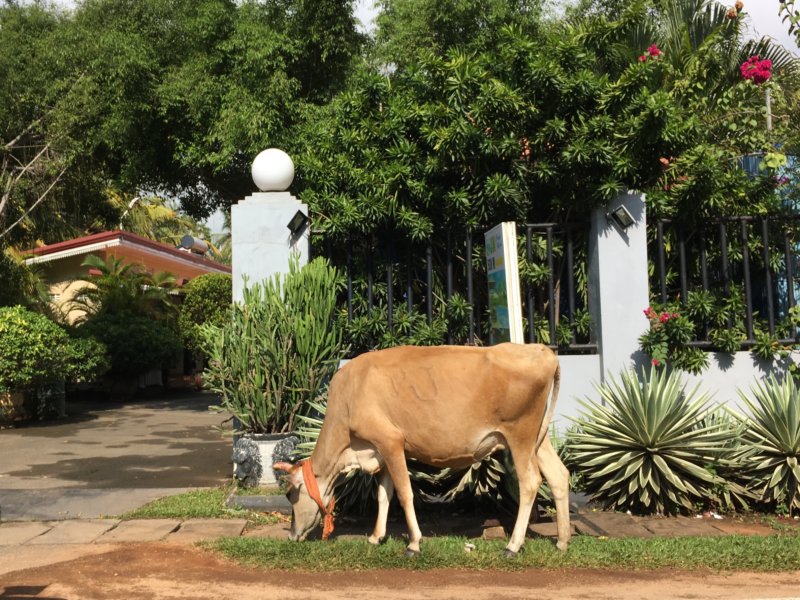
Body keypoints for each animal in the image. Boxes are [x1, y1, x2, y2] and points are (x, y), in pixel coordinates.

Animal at [273, 343, 570, 557]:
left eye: (289, 494)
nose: (291, 535)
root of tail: (540, 350)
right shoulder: (381, 450)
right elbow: (384, 495)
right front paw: (375, 537)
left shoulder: (391, 441)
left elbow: (405, 494)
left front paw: (414, 543)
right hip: (538, 438)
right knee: (558, 475)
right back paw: (562, 541)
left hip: (520, 435)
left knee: (530, 481)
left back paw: (513, 546)